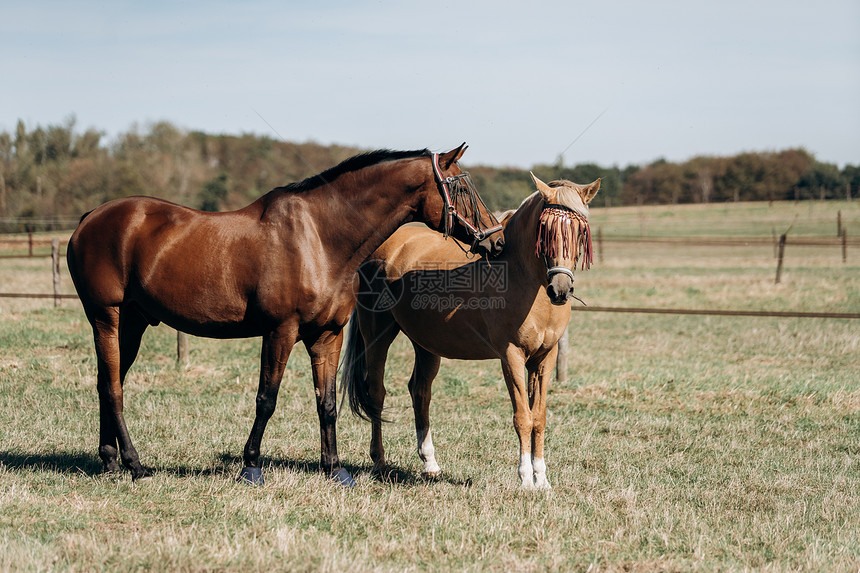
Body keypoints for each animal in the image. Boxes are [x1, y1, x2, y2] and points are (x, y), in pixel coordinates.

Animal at [72, 145, 510, 484]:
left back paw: (110, 461)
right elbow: (266, 398)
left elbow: (327, 403)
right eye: (460, 186)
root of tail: (89, 217)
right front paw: (251, 467)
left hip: (133, 321)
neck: (318, 238)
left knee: (108, 383)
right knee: (112, 387)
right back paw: (134, 465)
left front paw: (335, 470)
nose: (497, 241)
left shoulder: (327, 336)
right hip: (106, 317)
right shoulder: (280, 331)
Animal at [342, 171, 596, 488]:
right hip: (377, 335)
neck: (521, 276)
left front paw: (542, 480)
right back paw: (379, 462)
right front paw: (526, 480)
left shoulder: (544, 358)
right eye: (545, 230)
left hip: (426, 345)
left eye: (580, 231)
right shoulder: (511, 356)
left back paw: (430, 464)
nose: (560, 290)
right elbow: (522, 417)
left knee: (420, 392)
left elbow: (539, 418)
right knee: (376, 392)